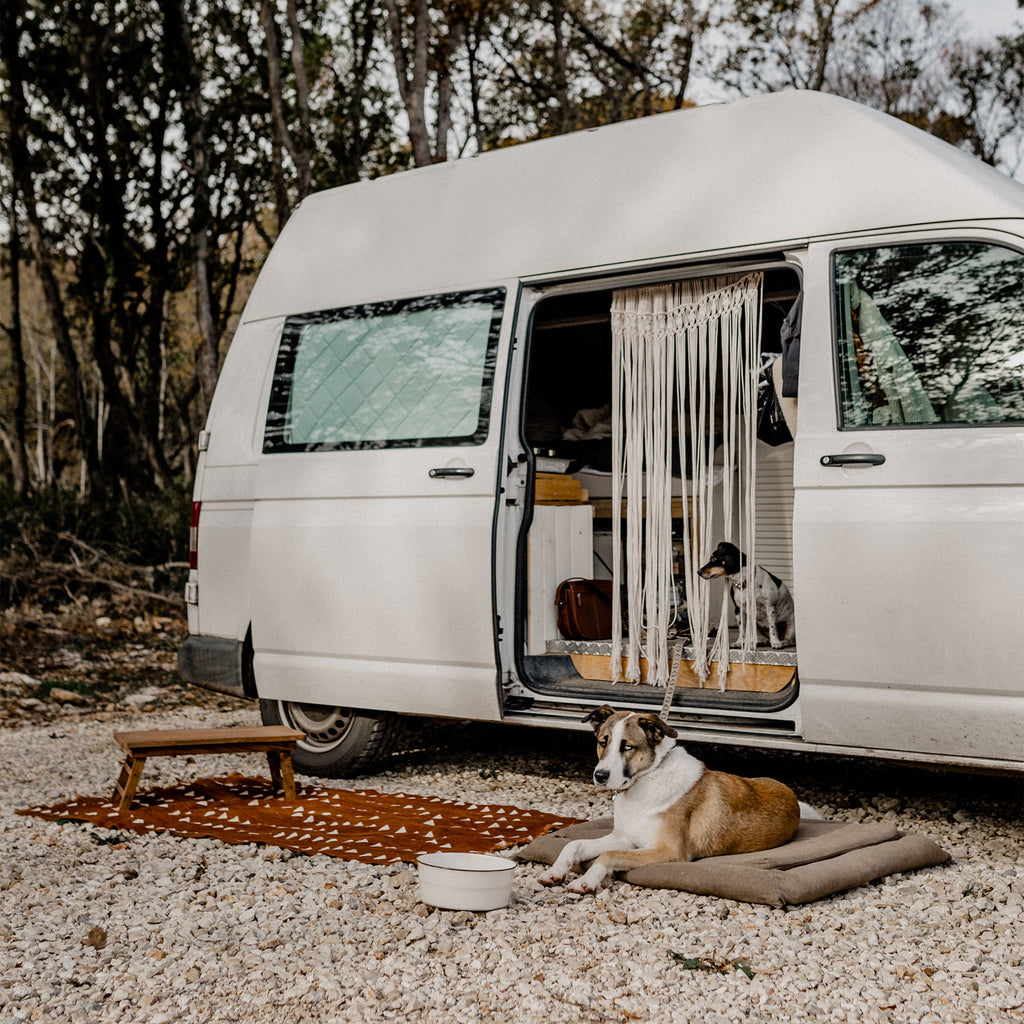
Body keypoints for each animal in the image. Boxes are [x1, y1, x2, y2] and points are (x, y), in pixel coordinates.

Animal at [536, 708, 815, 892]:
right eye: (603, 742)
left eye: (627, 747)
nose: (600, 776)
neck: (647, 780)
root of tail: (792, 796)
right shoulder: (625, 838)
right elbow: (574, 844)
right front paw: (554, 871)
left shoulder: (668, 851)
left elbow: (608, 855)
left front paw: (586, 880)